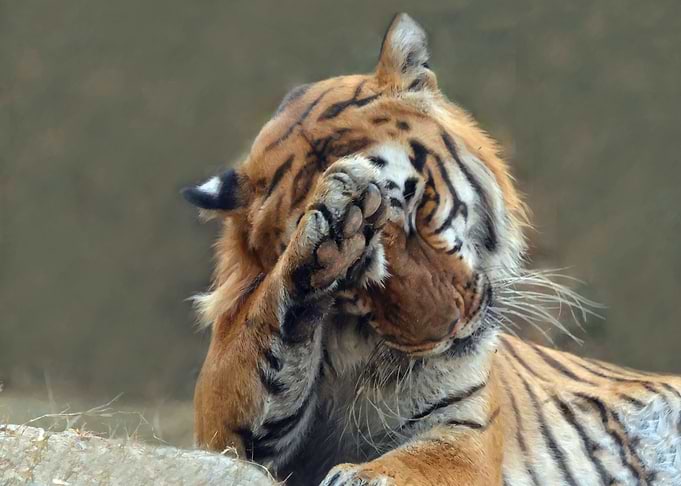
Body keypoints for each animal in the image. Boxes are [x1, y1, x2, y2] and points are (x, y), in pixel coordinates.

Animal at [182, 13, 681, 486]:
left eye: (414, 204)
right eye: (351, 282)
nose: (449, 331)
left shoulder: (465, 429)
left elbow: (413, 465)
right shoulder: (227, 433)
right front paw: (329, 230)